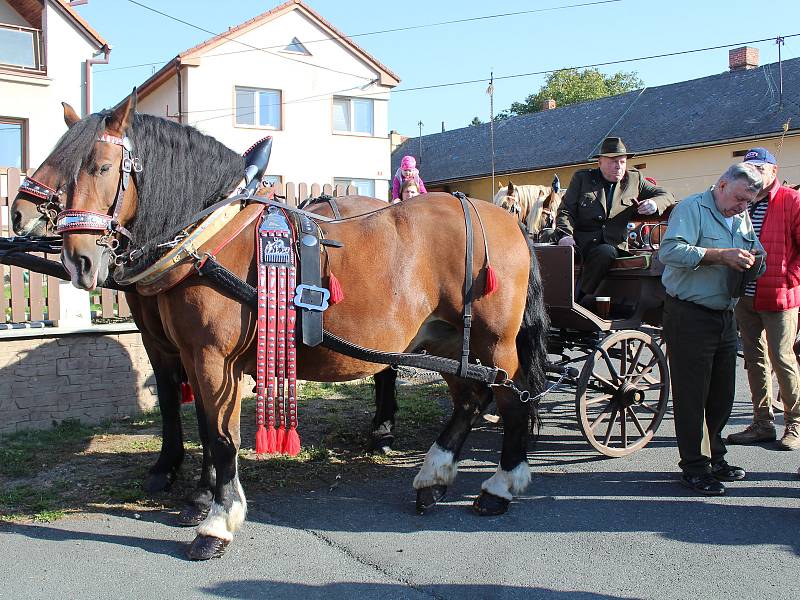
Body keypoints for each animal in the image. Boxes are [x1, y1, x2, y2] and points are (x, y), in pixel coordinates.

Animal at [47, 92, 548, 556]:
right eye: (57, 172)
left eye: (101, 167)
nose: (78, 260)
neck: (211, 236)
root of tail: (504, 220)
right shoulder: (190, 354)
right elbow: (209, 429)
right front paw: (206, 500)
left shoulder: (212, 358)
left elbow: (223, 438)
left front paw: (217, 522)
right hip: (446, 341)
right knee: (470, 400)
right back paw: (434, 477)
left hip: (494, 341)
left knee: (512, 399)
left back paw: (500, 486)